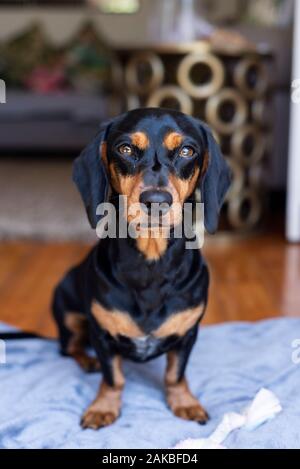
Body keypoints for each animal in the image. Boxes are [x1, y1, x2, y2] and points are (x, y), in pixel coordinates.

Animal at [52, 108, 231, 430]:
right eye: (125, 149)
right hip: (69, 315)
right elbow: (113, 378)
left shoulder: (188, 334)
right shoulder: (101, 335)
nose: (156, 201)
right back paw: (88, 361)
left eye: (187, 151)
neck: (150, 264)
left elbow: (175, 374)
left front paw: (185, 402)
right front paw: (103, 407)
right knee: (69, 347)